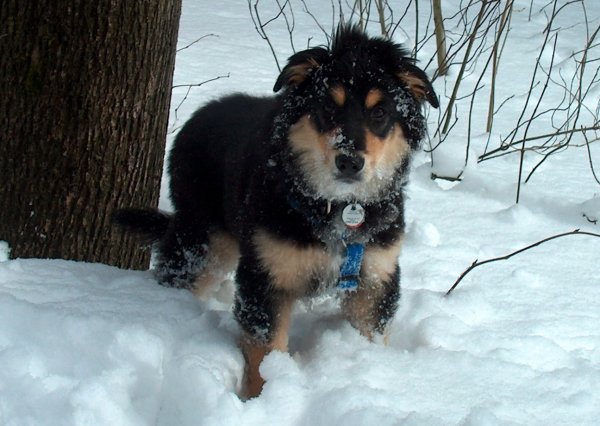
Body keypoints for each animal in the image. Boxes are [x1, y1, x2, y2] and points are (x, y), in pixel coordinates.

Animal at [113, 25, 436, 398]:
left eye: (380, 113)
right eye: (327, 107)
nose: (349, 162)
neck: (334, 206)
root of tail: (201, 114)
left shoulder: (375, 276)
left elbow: (369, 334)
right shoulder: (266, 276)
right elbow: (264, 355)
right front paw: (261, 399)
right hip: (202, 237)